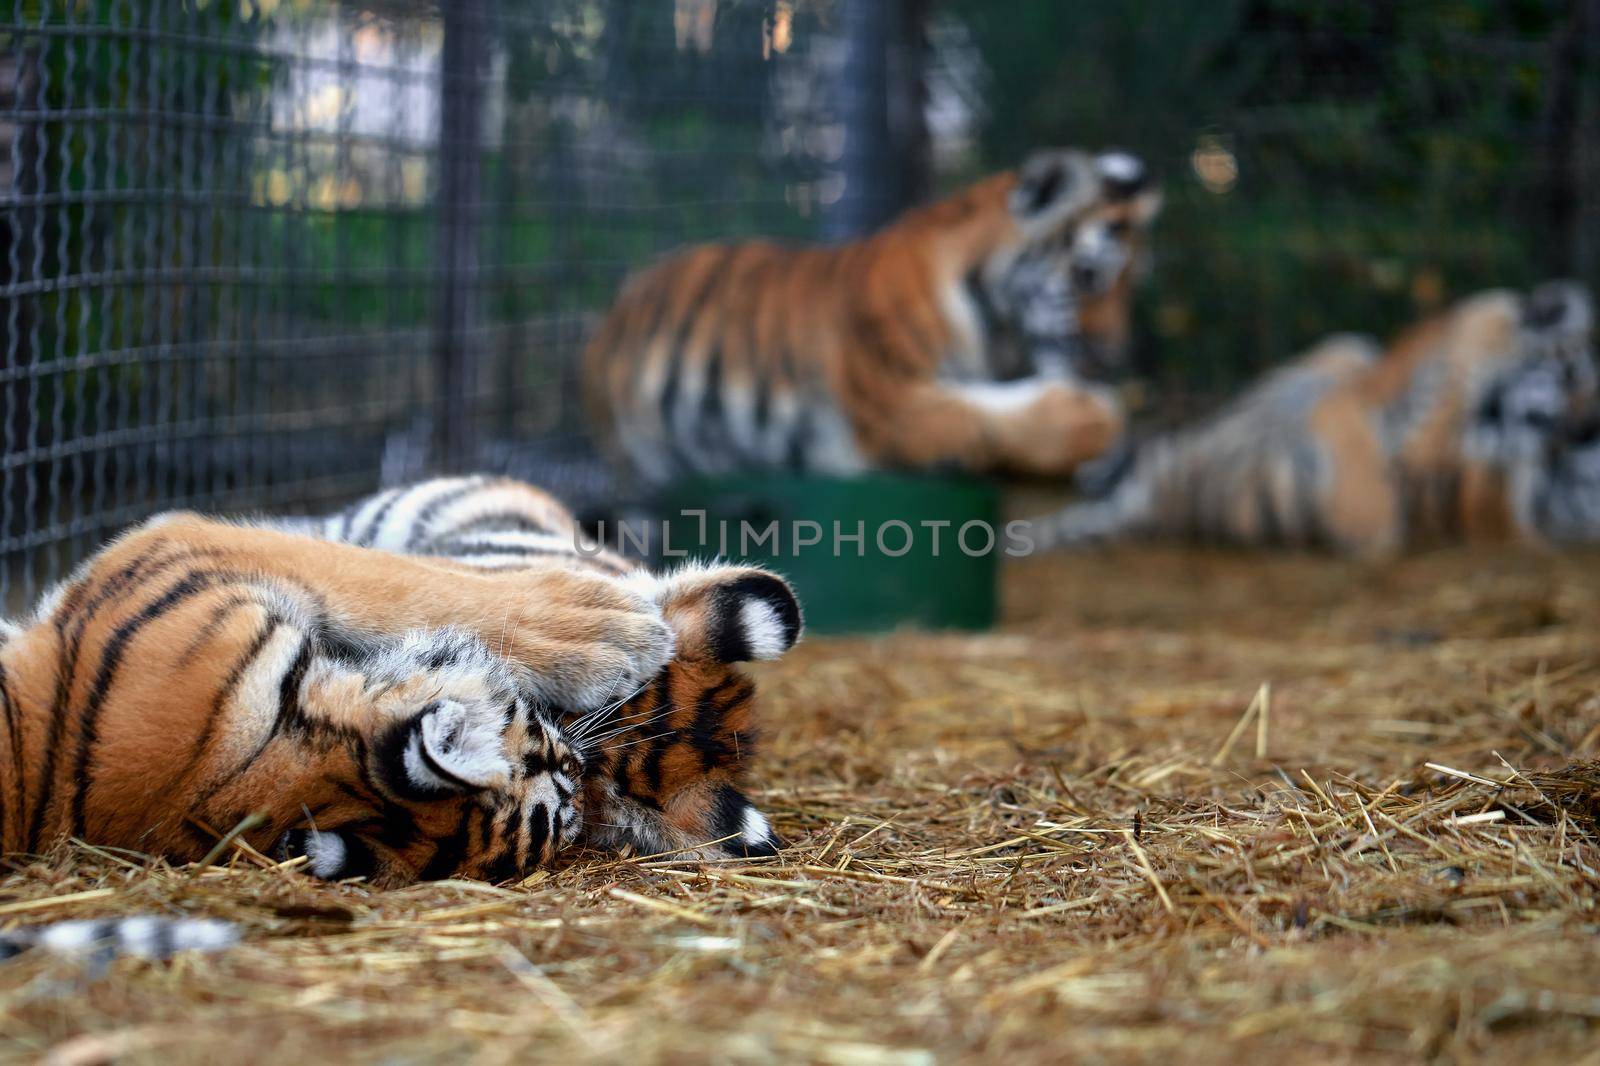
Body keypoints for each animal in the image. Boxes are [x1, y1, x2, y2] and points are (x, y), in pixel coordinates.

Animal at [582, 146, 1158, 486]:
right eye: (1088, 276)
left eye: (1132, 284)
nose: (1115, 355)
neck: (998, 322)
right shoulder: (895, 403)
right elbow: (988, 416)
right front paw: (1096, 419)